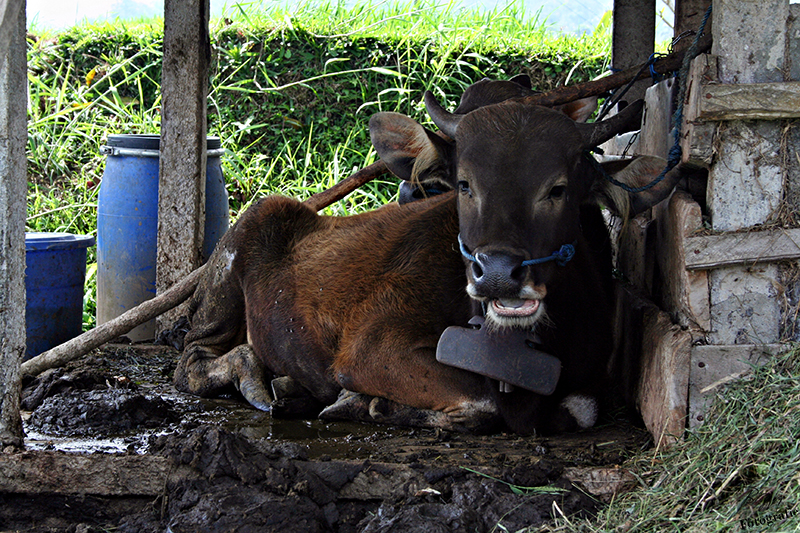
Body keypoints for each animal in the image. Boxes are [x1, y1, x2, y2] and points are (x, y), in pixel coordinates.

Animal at [175, 92, 680, 432]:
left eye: (558, 189)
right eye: (465, 184)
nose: (498, 274)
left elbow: (579, 410)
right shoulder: (373, 345)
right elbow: (480, 402)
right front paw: (364, 402)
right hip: (237, 251)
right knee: (192, 360)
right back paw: (252, 376)